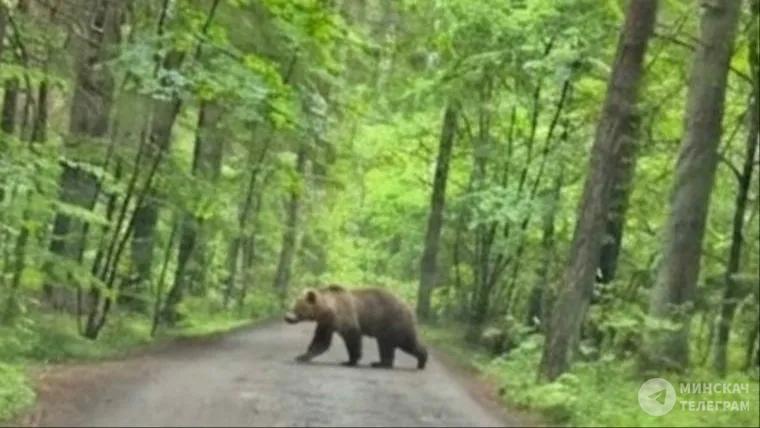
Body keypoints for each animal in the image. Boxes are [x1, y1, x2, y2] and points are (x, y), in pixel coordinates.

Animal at [284, 284, 428, 369]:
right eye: (293, 306)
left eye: (298, 308)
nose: (287, 317)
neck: (328, 310)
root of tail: (408, 305)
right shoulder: (326, 324)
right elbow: (320, 341)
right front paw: (302, 356)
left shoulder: (345, 317)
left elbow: (352, 337)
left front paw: (350, 360)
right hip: (385, 329)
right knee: (385, 345)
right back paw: (380, 363)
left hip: (394, 321)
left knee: (406, 342)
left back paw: (422, 360)